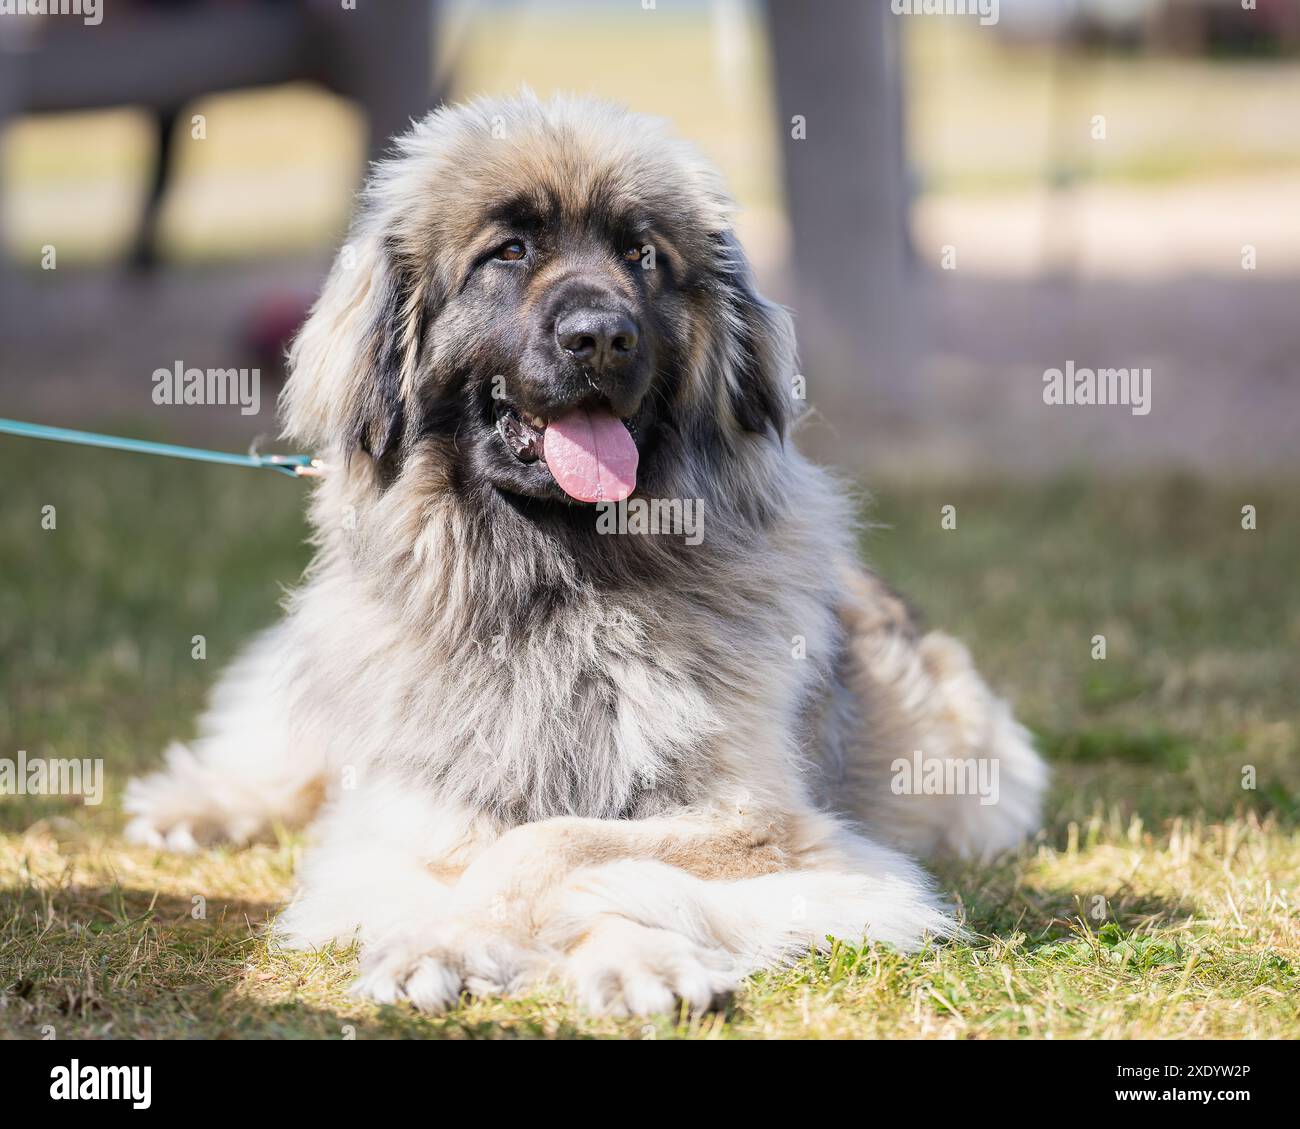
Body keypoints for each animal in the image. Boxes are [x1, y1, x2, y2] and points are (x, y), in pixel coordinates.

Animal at [126, 92, 1045, 1019]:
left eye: (642, 256)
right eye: (510, 251)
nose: (601, 336)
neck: (561, 586)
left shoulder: (766, 829)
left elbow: (557, 845)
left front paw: (619, 956)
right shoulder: (406, 819)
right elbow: (492, 848)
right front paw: (445, 937)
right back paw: (202, 804)